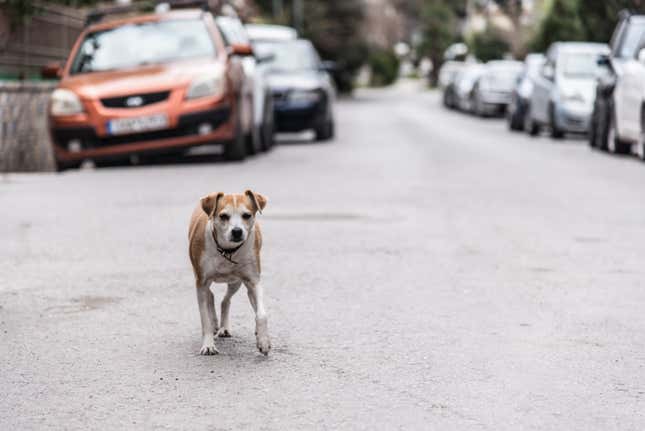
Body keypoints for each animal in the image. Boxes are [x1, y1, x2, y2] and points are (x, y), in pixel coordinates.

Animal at [187, 191, 268, 356]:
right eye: (223, 216)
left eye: (246, 215)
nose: (237, 231)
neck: (227, 250)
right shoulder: (201, 282)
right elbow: (204, 318)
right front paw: (208, 345)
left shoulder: (253, 280)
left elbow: (262, 313)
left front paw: (263, 341)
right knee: (210, 296)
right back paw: (215, 324)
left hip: (236, 281)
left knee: (226, 300)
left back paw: (225, 327)